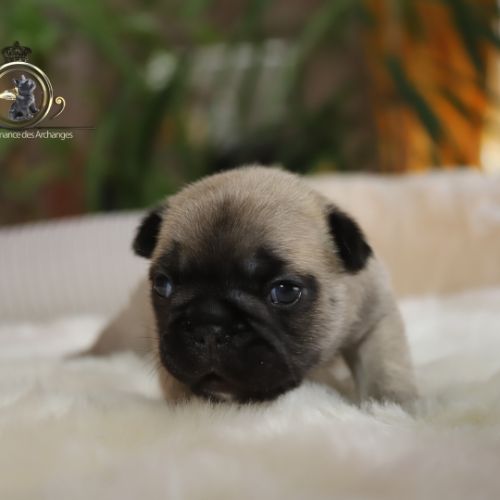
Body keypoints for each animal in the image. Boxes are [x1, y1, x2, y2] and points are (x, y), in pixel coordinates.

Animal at [90, 166, 417, 406]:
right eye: (163, 285)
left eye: (284, 292)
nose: (208, 324)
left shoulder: (375, 320)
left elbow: (385, 369)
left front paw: (391, 408)